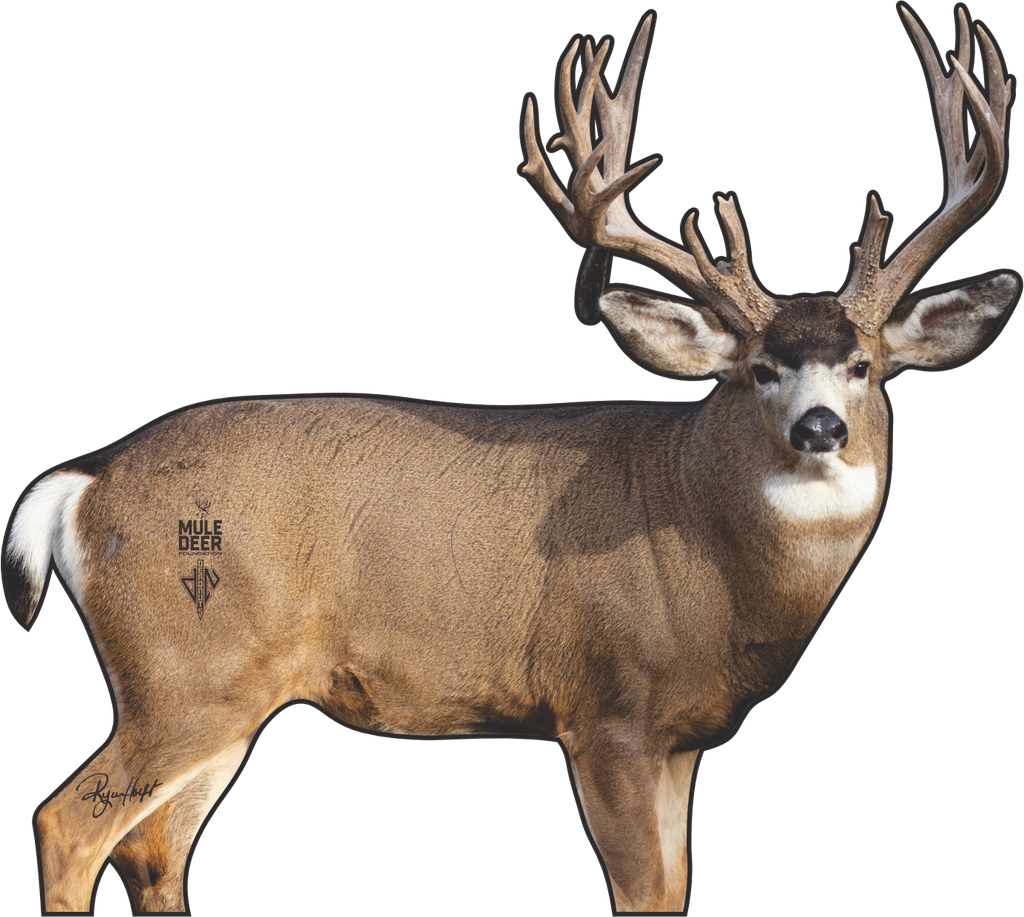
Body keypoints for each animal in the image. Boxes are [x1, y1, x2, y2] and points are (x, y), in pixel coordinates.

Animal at [2, 3, 1018, 914]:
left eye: (864, 366)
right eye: (759, 368)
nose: (819, 429)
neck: (709, 553)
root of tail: (84, 478)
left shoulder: (681, 737)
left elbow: (678, 887)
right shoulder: (607, 707)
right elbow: (643, 892)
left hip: (216, 690)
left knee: (153, 851)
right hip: (184, 668)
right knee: (68, 821)